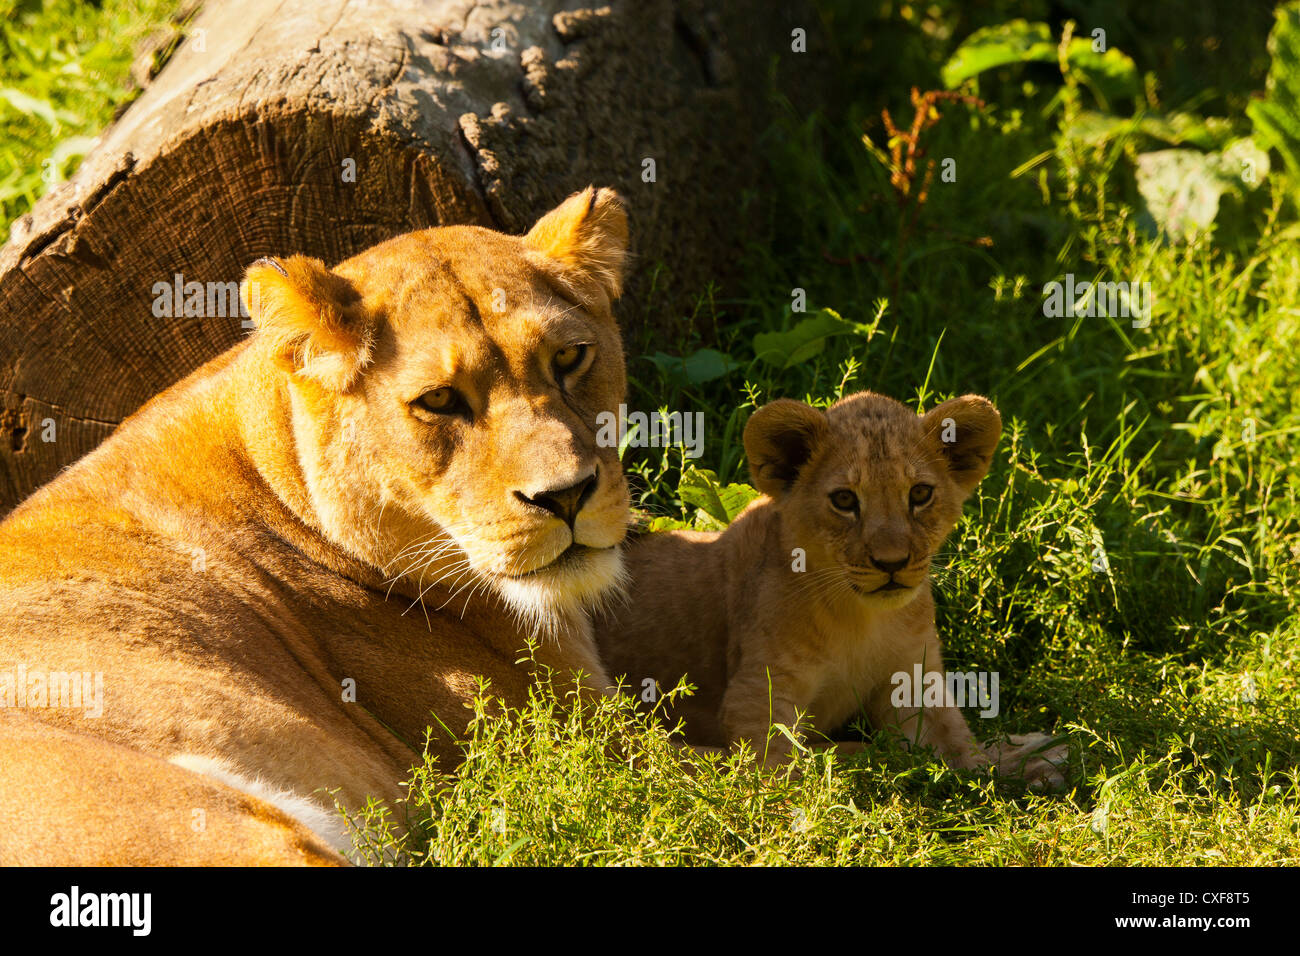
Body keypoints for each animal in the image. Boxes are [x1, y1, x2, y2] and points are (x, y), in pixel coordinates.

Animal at [595, 391, 1068, 787]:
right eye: (844, 500)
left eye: (920, 493)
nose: (892, 563)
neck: (860, 618)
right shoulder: (758, 698)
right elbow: (787, 766)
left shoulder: (914, 681)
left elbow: (960, 748)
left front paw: (1021, 763)